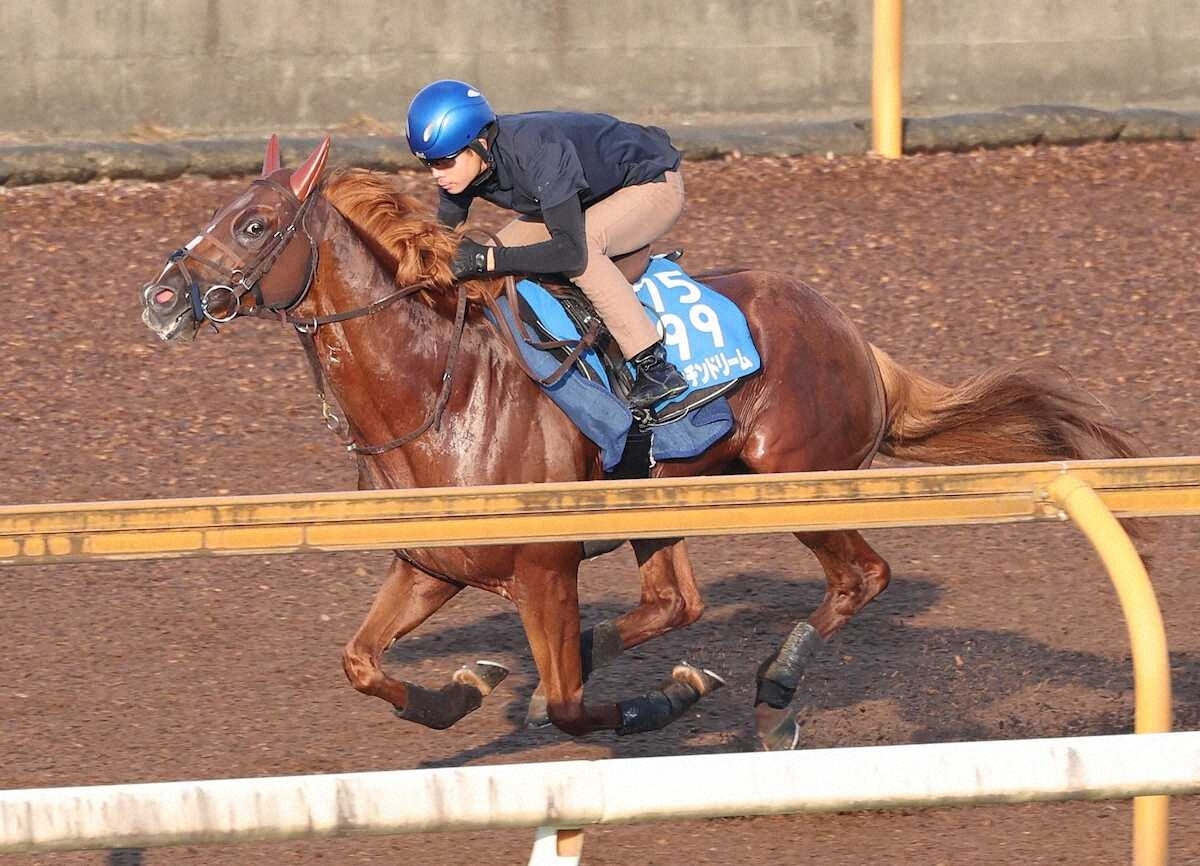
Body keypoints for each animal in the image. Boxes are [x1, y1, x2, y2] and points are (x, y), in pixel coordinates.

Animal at [139, 136, 1141, 750]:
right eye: (217, 213)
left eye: (256, 224)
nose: (162, 297)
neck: (435, 393)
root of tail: (854, 335)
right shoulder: (429, 563)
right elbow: (361, 665)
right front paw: (464, 686)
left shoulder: (544, 568)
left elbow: (568, 707)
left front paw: (656, 698)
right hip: (665, 500)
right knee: (675, 602)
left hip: (795, 477)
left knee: (861, 577)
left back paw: (774, 694)